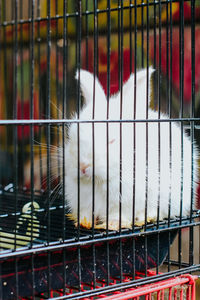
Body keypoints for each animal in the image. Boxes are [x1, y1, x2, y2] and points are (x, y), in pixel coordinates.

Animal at [64, 67, 198, 229]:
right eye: (71, 138)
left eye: (111, 140)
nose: (83, 166)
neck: (99, 181)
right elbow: (86, 212)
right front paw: (84, 222)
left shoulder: (129, 199)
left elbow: (119, 214)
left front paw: (112, 224)